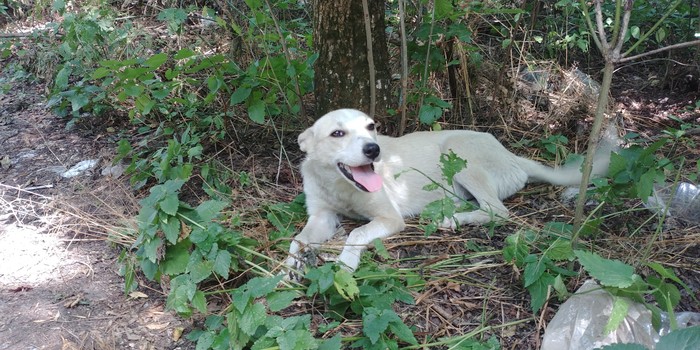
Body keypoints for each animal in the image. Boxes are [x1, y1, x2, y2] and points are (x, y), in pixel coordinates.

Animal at [284, 108, 616, 272]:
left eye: (371, 127)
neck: (339, 185)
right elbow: (296, 241)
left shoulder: (389, 218)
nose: (373, 150)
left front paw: (344, 264)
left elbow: (356, 233)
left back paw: (451, 219)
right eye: (337, 133)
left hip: (457, 152)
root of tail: (511, 154)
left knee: (497, 210)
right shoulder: (321, 216)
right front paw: (286, 271)